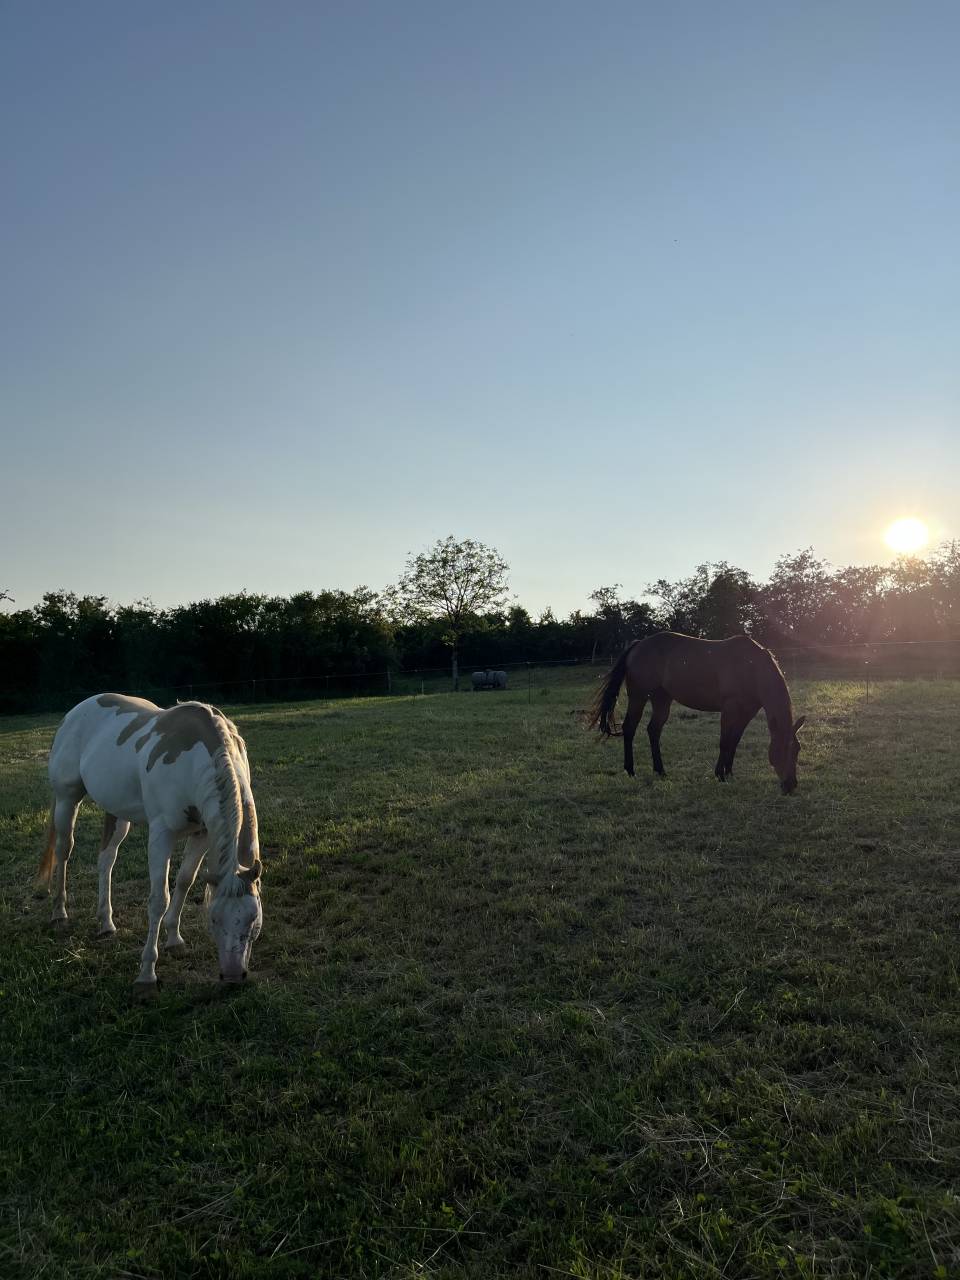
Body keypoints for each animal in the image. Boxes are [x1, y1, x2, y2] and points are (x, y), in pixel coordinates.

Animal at [39, 693, 263, 994]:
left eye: (253, 919)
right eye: (214, 919)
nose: (232, 976)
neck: (195, 759)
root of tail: (74, 713)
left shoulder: (202, 834)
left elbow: (184, 881)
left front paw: (174, 939)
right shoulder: (161, 834)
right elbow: (159, 898)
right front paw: (147, 973)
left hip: (117, 812)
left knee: (106, 859)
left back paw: (106, 922)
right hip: (67, 800)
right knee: (64, 851)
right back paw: (59, 912)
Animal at [586, 632, 805, 793]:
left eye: (797, 750)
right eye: (782, 749)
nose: (790, 785)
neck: (752, 667)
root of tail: (638, 644)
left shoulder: (747, 711)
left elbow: (734, 741)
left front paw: (730, 773)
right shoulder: (730, 708)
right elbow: (725, 742)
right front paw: (720, 775)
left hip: (662, 699)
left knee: (653, 730)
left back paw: (660, 771)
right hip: (639, 696)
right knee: (630, 728)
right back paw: (631, 770)